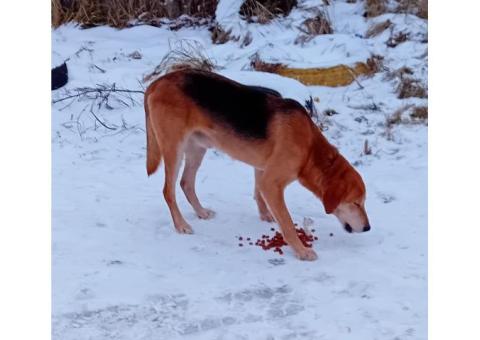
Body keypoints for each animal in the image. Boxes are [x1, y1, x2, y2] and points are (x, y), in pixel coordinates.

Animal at [144, 69, 370, 260]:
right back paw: (181, 225)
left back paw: (201, 212)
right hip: (174, 150)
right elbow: (287, 223)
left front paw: (265, 215)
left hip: (197, 149)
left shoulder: (263, 172)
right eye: (356, 203)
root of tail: (157, 82)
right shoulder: (272, 183)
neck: (309, 148)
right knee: (168, 191)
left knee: (186, 183)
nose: (368, 228)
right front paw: (301, 250)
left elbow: (258, 194)